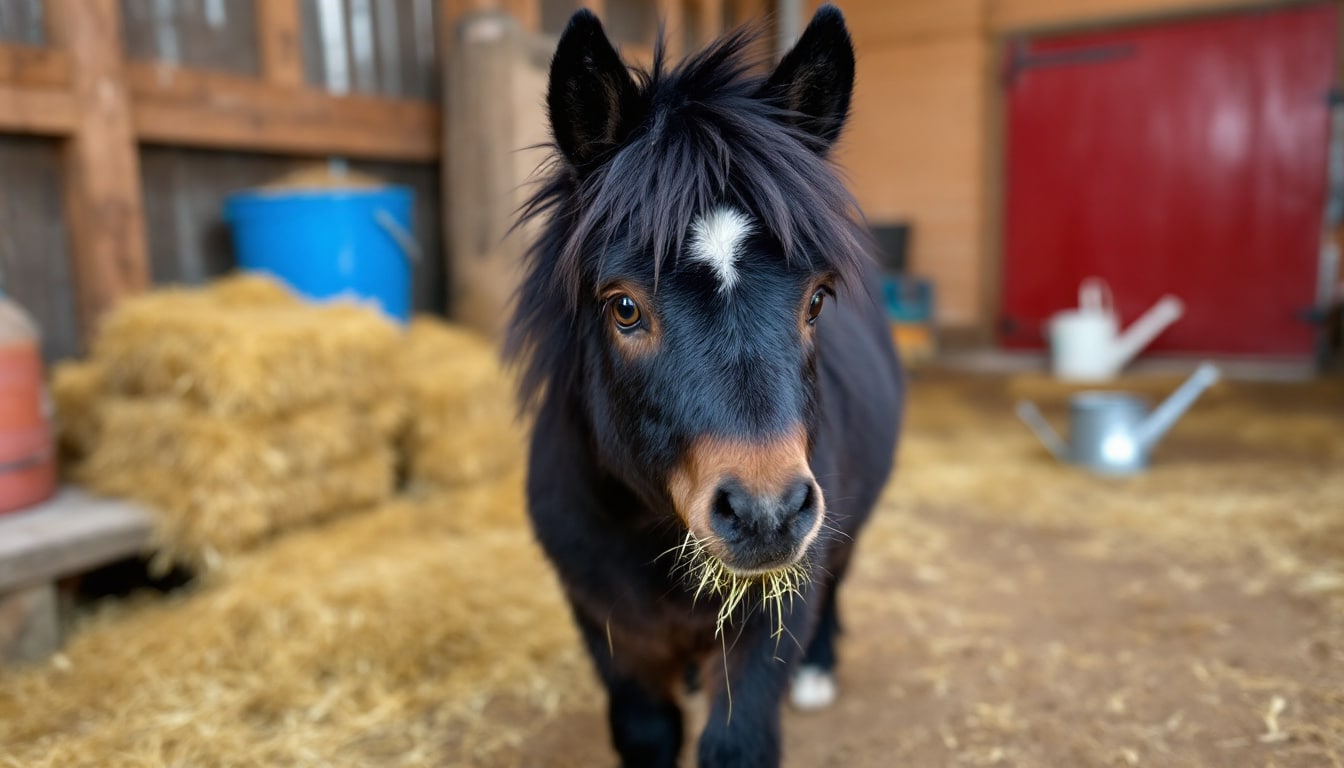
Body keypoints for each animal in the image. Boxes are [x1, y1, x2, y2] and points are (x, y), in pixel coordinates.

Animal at [508, 4, 908, 763]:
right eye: (624, 307)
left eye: (816, 300)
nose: (766, 515)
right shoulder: (613, 637)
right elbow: (648, 732)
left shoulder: (764, 635)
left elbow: (737, 742)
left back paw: (819, 671)